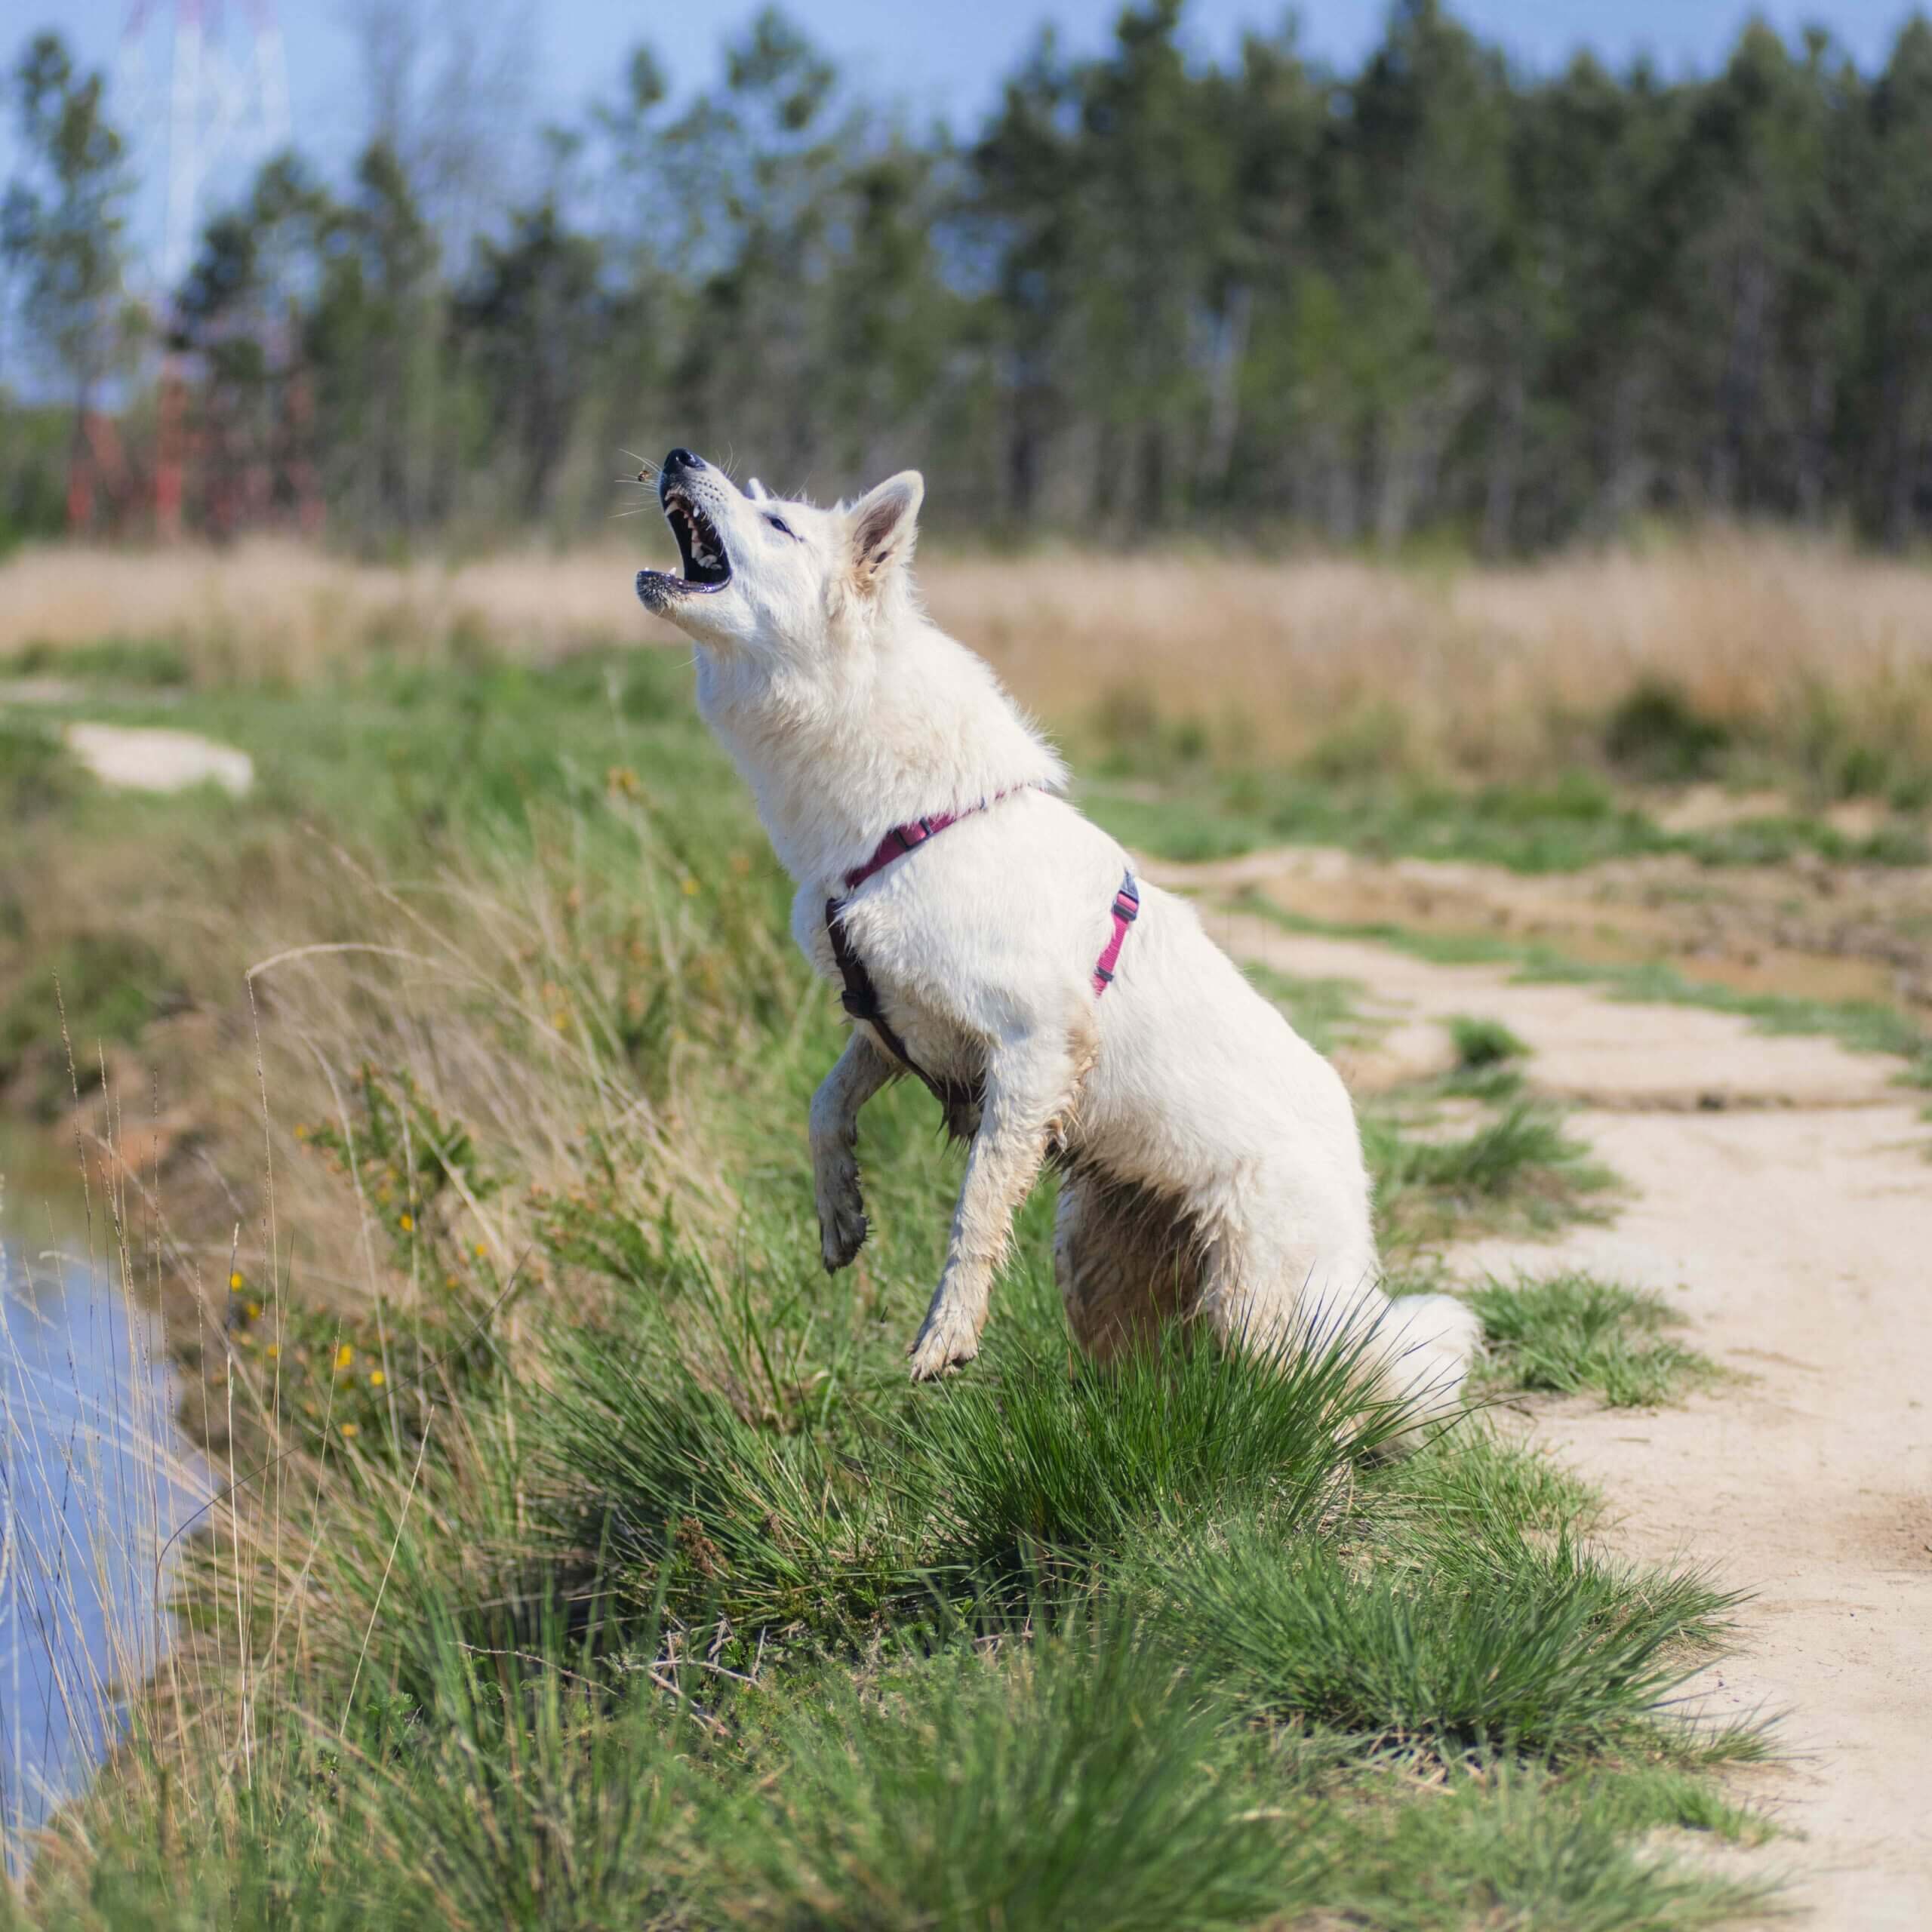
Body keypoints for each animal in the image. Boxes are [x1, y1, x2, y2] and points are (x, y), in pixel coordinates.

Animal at [626, 450, 1468, 1414]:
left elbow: (975, 1210)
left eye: (777, 525)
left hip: (1263, 1312)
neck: (901, 819)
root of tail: (1358, 1172)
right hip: (1094, 1263)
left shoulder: (1032, 1048)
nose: (680, 455)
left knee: (1313, 1399)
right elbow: (823, 1107)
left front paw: (946, 1334)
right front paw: (840, 1215)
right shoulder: (891, 1021)